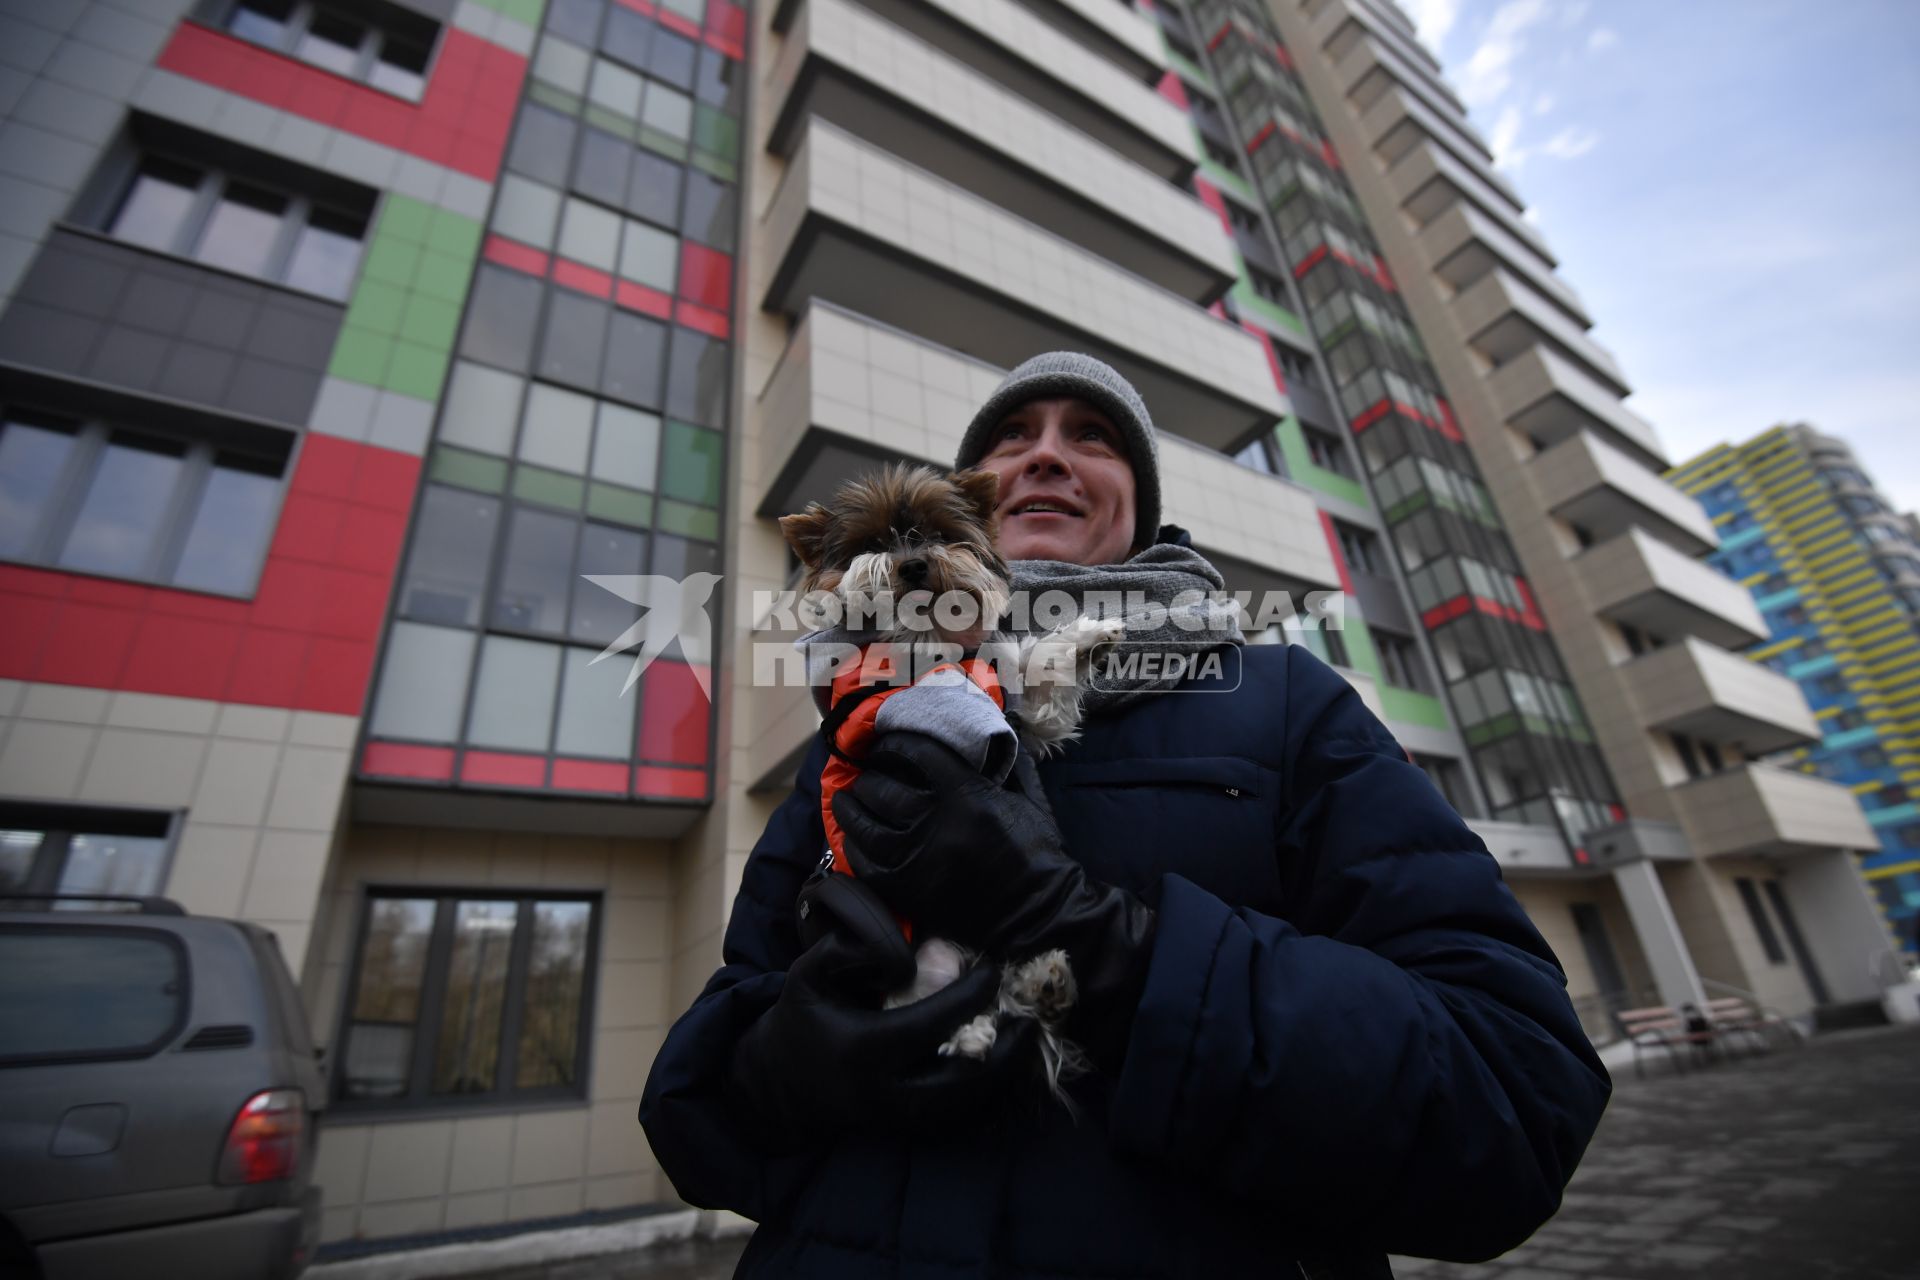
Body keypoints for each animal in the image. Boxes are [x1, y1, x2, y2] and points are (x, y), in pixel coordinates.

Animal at [775, 460, 1121, 1105]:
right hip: (918, 962)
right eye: (874, 543)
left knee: (1003, 991)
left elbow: (1037, 671)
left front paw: (1092, 637)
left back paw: (1044, 984)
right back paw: (974, 1031)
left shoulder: (1022, 709)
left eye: (937, 534)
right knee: (930, 1008)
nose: (913, 563)